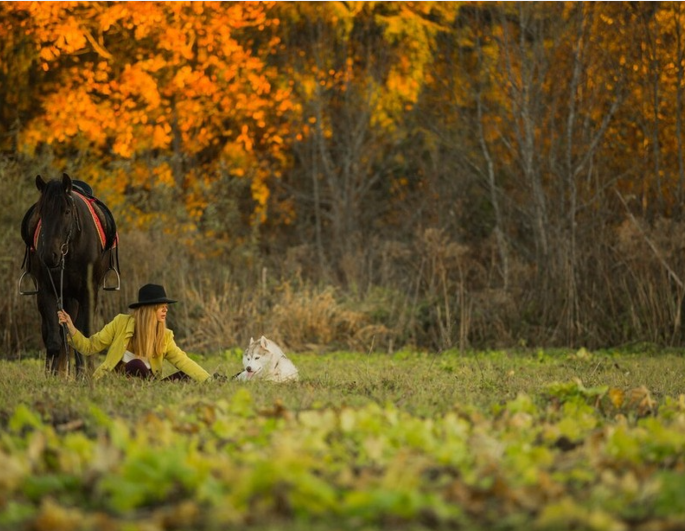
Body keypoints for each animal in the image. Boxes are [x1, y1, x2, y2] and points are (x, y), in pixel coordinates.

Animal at [20, 174, 119, 374]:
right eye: (41, 213)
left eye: (66, 212)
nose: (50, 255)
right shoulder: (47, 292)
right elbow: (53, 339)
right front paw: (51, 376)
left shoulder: (88, 293)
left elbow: (83, 334)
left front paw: (83, 374)